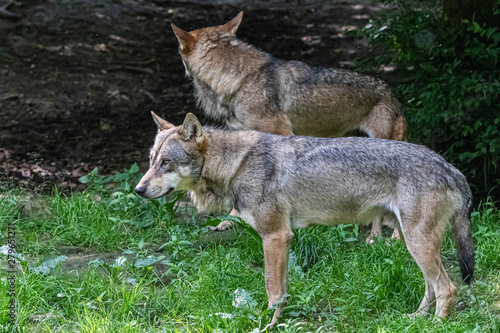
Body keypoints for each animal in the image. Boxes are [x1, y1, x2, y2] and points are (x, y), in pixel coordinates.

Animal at [172, 12, 406, 239]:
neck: (239, 80)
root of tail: (391, 94)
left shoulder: (281, 133)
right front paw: (226, 222)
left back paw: (390, 240)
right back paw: (375, 238)